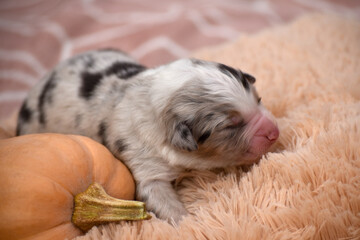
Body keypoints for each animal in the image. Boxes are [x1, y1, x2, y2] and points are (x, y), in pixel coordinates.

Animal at [16, 49, 280, 223]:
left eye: (258, 100)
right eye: (231, 126)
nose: (275, 132)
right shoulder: (144, 165)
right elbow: (159, 196)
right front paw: (187, 222)